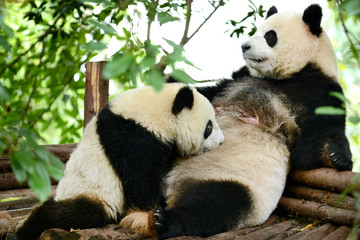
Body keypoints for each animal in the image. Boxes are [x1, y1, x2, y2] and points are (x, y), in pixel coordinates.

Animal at [12, 83, 224, 240]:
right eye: (209, 127)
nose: (221, 141)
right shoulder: (134, 137)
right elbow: (140, 182)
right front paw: (156, 207)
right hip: (93, 193)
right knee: (70, 213)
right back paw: (26, 228)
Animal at [120, 4, 352, 239]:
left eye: (270, 36)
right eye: (258, 30)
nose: (244, 46)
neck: (291, 75)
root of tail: (172, 190)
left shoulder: (320, 91)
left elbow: (311, 147)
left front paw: (336, 156)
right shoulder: (238, 79)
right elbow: (207, 93)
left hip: (235, 184)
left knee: (215, 206)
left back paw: (162, 221)